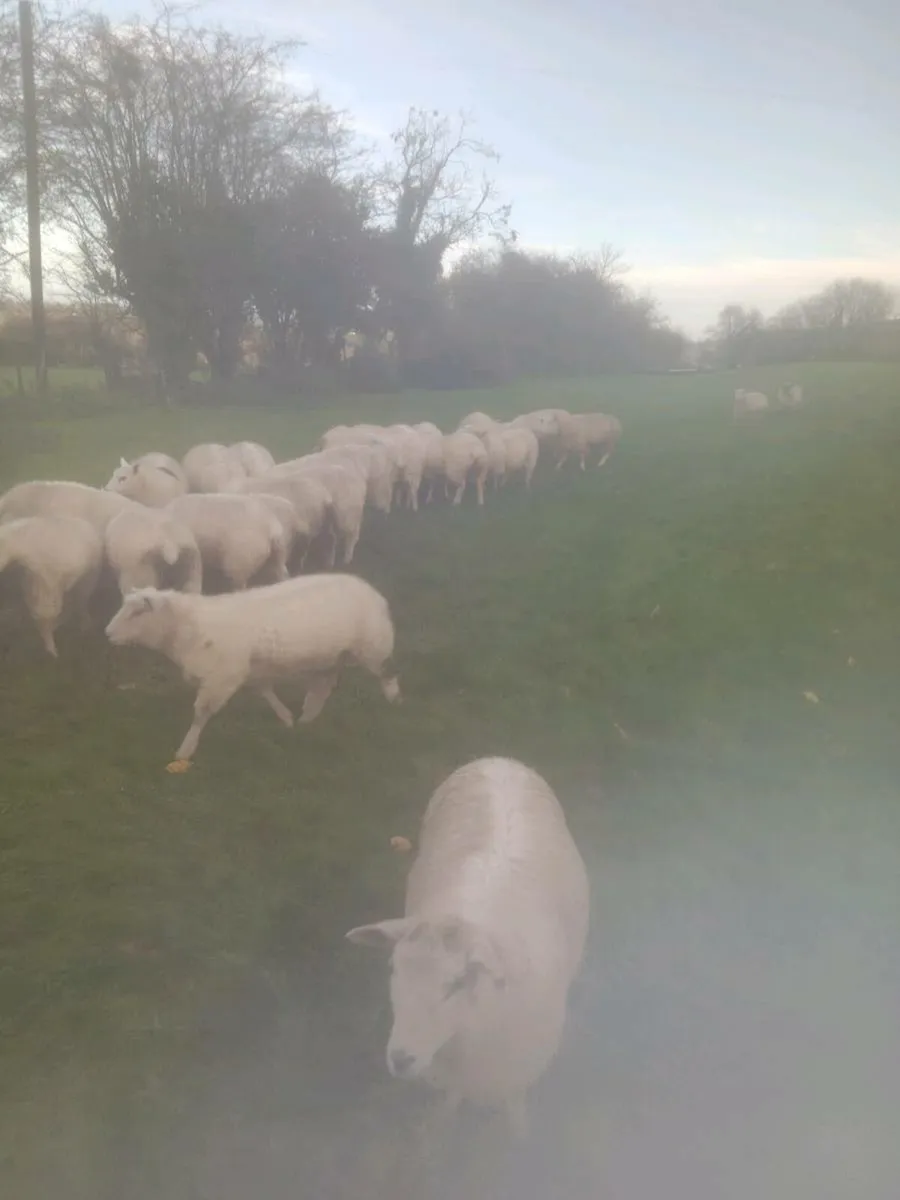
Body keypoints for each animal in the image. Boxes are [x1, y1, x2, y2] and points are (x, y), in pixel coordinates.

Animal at [105, 574, 402, 764]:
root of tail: (371, 590)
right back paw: (307, 719)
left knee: (387, 673)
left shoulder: (221, 678)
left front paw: (185, 750)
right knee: (322, 687)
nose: (107, 633)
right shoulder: (246, 671)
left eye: (137, 613)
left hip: (374, 647)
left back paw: (393, 701)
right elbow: (264, 691)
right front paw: (286, 718)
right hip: (330, 657)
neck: (189, 628)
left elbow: (201, 715)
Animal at [346, 756, 590, 1139]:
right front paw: (436, 1131)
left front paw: (521, 1139)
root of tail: (499, 760)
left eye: (460, 981)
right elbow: (445, 1111)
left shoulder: (518, 1072)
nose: (401, 1059)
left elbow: (516, 1116)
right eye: (393, 969)